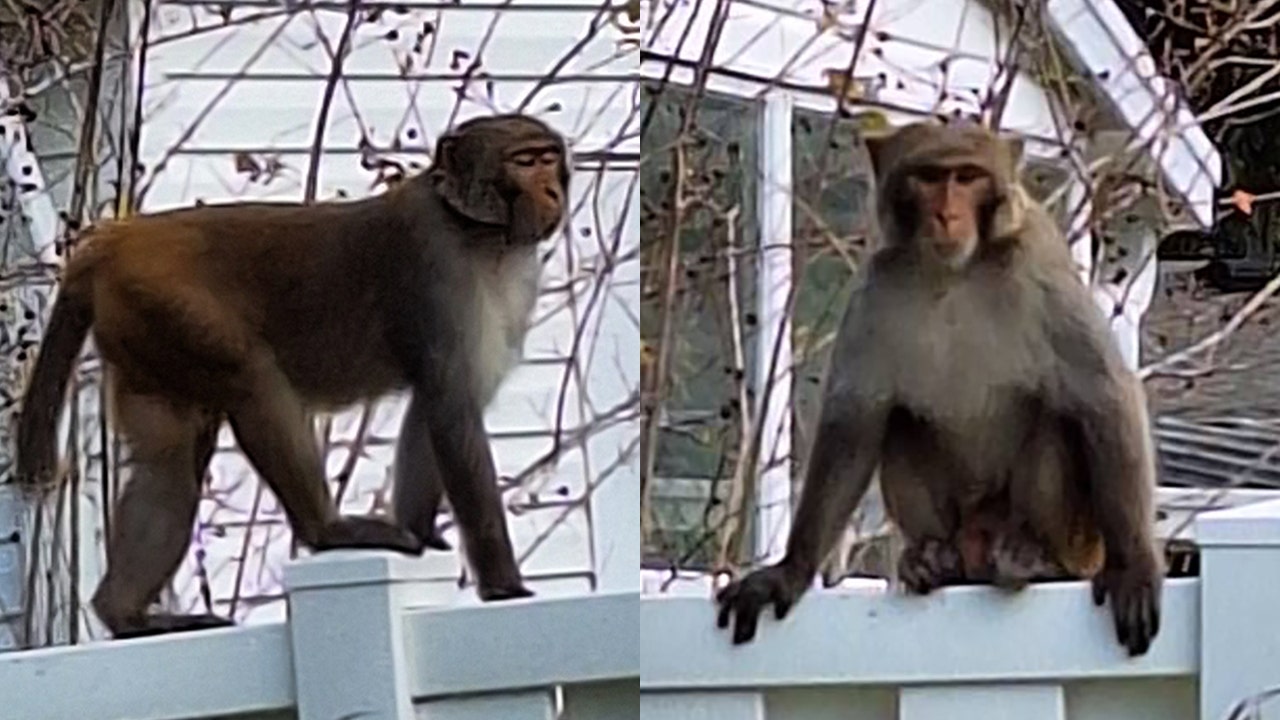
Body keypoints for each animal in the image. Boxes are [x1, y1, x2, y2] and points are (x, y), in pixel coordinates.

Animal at [14, 113, 570, 639]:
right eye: (524, 161)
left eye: (548, 158)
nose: (553, 191)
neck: (477, 233)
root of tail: (115, 242)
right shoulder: (433, 262)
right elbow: (451, 408)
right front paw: (505, 586)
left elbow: (440, 408)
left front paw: (420, 529)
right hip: (163, 298)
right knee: (252, 379)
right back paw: (325, 530)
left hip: (140, 332)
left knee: (167, 464)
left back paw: (125, 614)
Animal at [715, 120, 1163, 657]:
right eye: (929, 177)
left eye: (967, 177)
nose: (947, 214)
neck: (956, 270)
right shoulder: (879, 284)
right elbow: (855, 422)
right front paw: (790, 570)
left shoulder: (1038, 267)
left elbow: (1105, 396)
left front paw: (1134, 566)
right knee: (899, 423)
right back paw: (933, 559)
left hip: (1077, 537)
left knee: (1054, 419)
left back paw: (1034, 556)